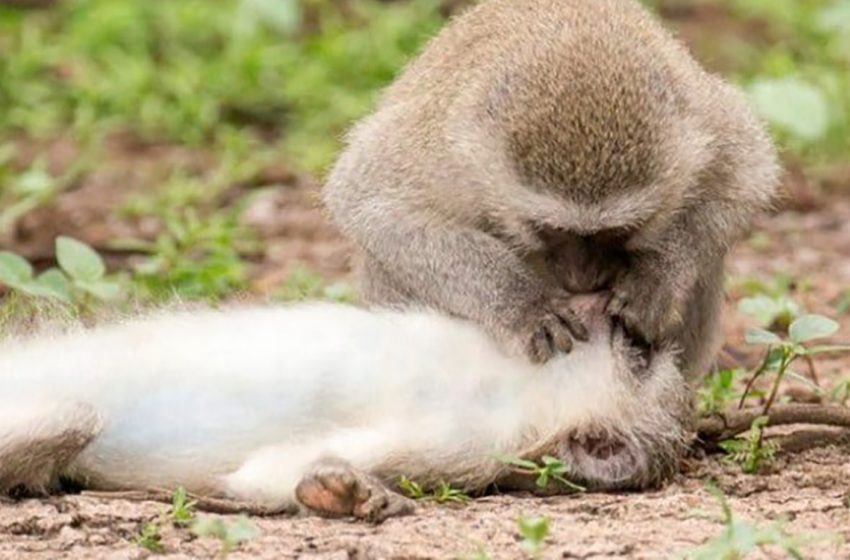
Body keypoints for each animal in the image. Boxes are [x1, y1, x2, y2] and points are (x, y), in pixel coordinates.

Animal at [0, 296, 688, 524]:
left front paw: (350, 495)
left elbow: (263, 477)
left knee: (75, 418)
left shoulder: (472, 444)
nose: (614, 312)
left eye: (637, 352)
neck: (516, 388)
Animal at [322, 0, 780, 374]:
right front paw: (524, 305)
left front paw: (656, 278)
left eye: (621, 231)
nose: (584, 279)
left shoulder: (701, 119)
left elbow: (749, 175)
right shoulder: (447, 154)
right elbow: (368, 201)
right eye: (551, 229)